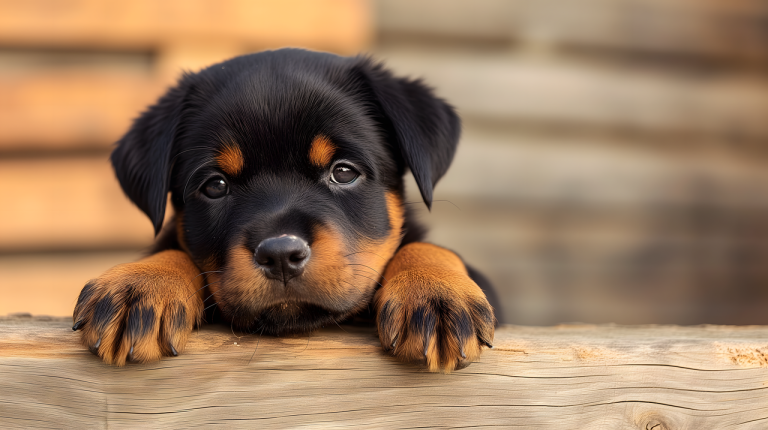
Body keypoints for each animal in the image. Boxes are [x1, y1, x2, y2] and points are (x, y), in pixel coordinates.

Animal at [73, 47, 498, 372]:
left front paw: (434, 292)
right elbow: (171, 249)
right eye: (215, 186)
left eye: (344, 172)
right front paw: (141, 283)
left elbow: (426, 246)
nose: (280, 255)